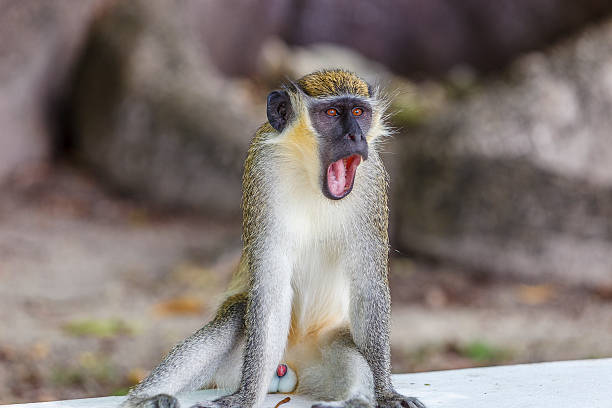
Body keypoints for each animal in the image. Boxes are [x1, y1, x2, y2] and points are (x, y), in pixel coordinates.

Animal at [119, 69, 426, 408]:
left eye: (359, 112)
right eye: (332, 113)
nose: (356, 137)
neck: (310, 175)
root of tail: (289, 365)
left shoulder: (372, 180)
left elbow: (368, 284)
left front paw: (386, 392)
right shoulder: (262, 168)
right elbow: (270, 286)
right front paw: (245, 397)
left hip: (320, 351)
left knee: (347, 348)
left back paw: (354, 400)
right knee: (237, 315)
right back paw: (144, 398)